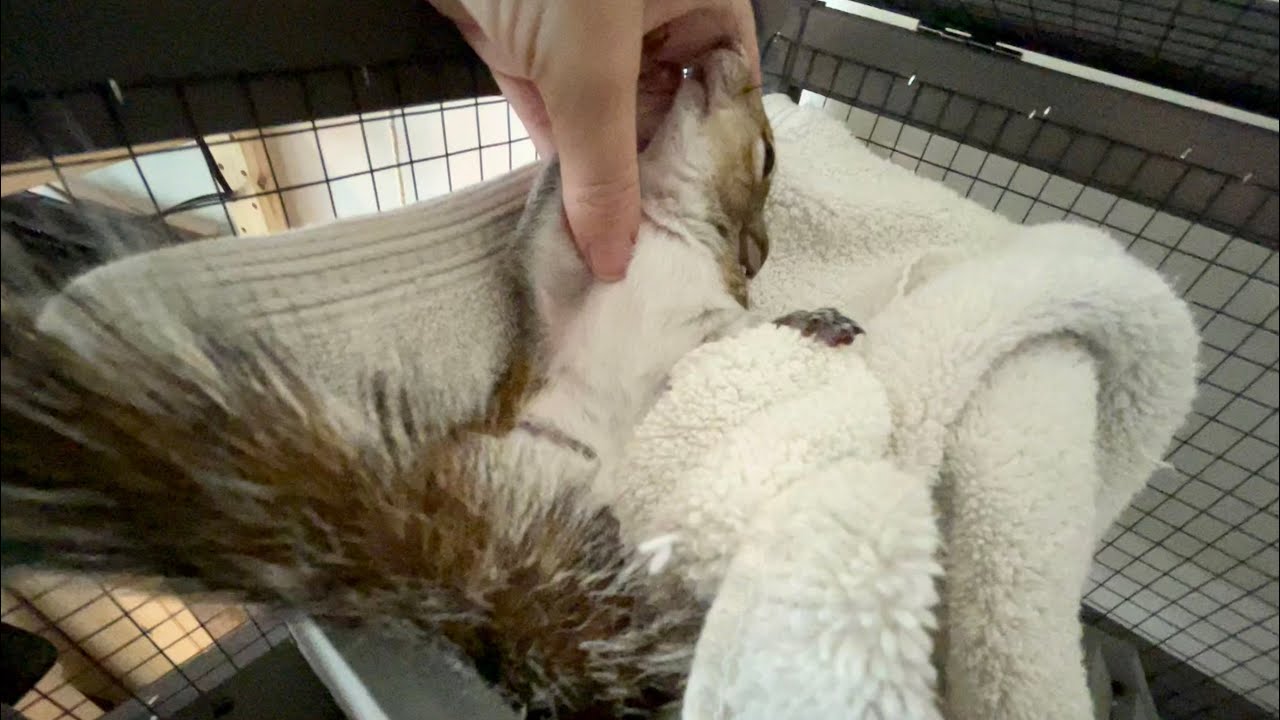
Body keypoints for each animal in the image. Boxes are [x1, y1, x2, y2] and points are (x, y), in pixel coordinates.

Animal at [1, 49, 861, 718]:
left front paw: (812, 321)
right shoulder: (564, 280)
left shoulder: (710, 323)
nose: (730, 58)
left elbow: (745, 333)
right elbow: (545, 220)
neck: (669, 228)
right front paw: (620, 101)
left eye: (770, 155)